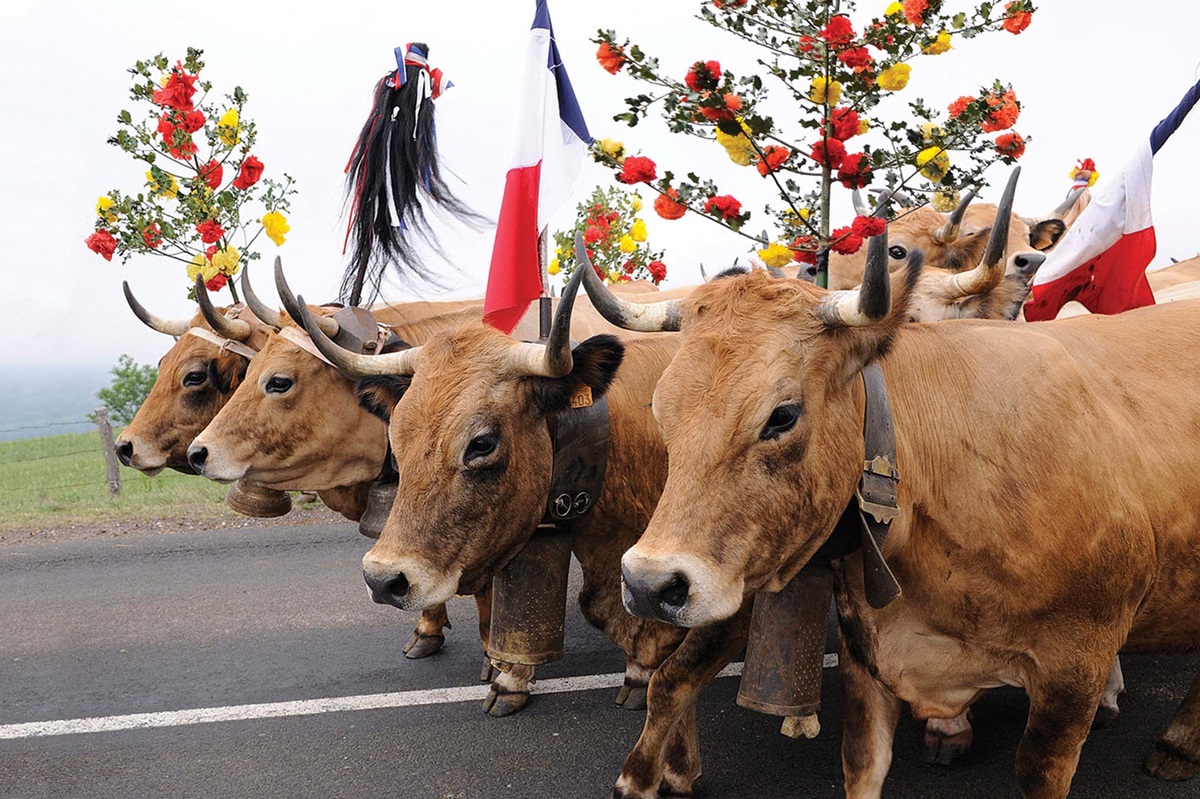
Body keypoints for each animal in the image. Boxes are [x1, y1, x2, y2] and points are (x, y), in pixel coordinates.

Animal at [604, 219, 1200, 796]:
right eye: (659, 408)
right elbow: (861, 764)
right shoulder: (868, 655)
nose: (648, 584)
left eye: (782, 415)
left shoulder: (1073, 672)